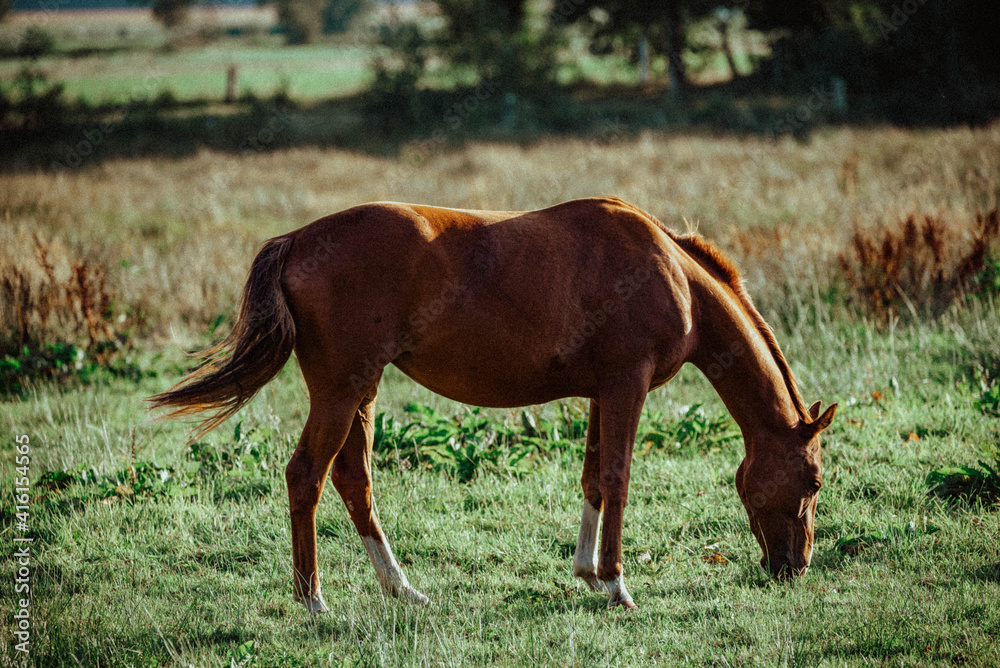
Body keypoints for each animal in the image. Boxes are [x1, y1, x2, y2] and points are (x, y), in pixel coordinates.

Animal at [149, 196, 836, 612]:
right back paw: (314, 600)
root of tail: (296, 240)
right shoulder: (626, 385)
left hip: (360, 394)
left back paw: (402, 589)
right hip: (341, 393)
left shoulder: (600, 393)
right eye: (813, 480)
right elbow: (617, 477)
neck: (670, 271)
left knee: (353, 480)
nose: (794, 567)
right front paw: (616, 584)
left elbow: (592, 479)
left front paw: (587, 572)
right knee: (307, 477)